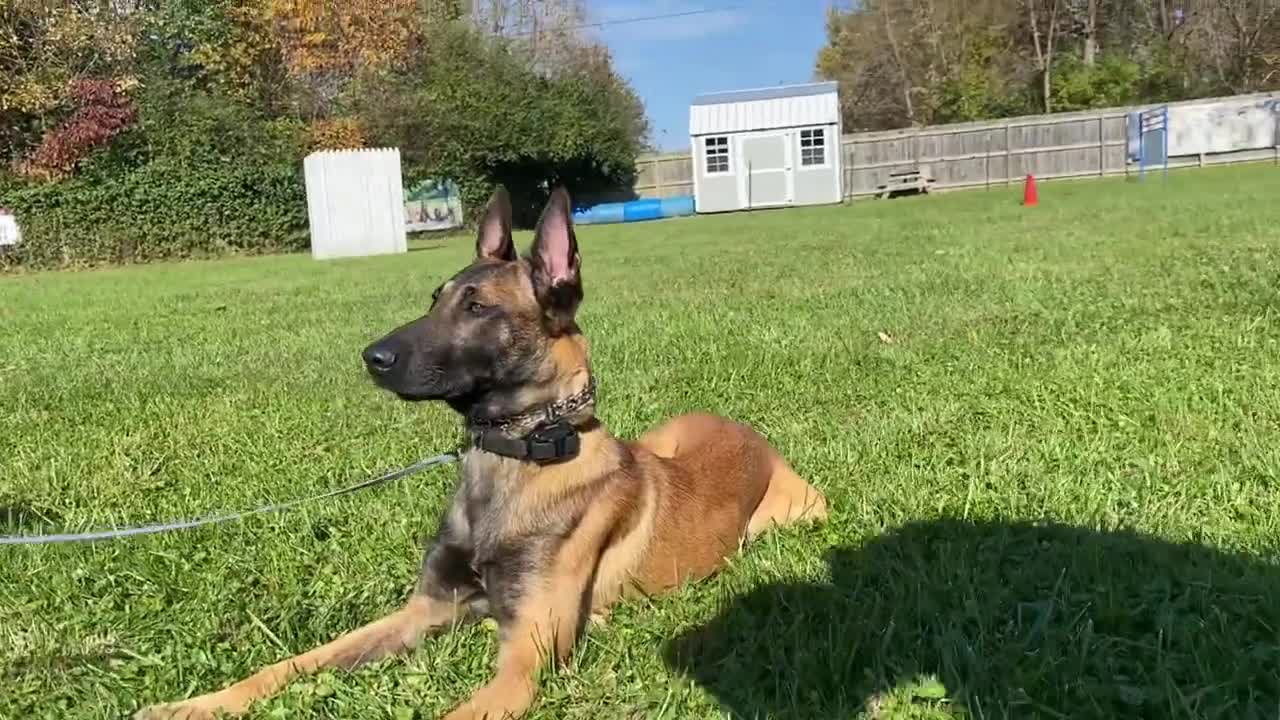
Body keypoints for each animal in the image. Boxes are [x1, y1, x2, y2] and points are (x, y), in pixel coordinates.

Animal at [140, 185, 829, 717]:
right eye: (435, 298)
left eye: (476, 308)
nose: (371, 358)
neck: (515, 456)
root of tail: (750, 434)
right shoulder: (421, 611)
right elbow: (296, 662)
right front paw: (194, 704)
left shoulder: (523, 658)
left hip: (794, 516)